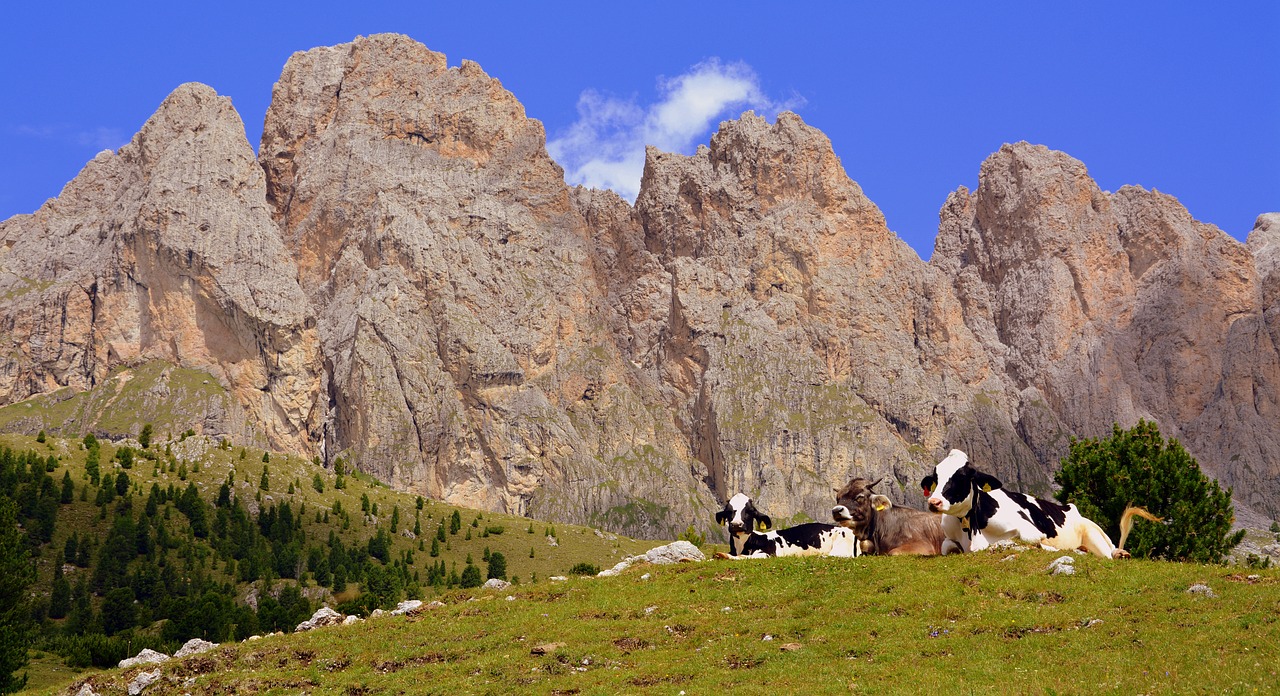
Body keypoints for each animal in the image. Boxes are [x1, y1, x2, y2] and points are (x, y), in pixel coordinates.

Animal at [711, 488, 860, 560]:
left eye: (749, 512)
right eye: (728, 511)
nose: (737, 524)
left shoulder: (768, 554)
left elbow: (743, 557)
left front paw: (724, 556)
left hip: (841, 546)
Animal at [921, 450, 1162, 560]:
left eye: (962, 476)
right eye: (936, 477)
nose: (934, 502)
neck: (973, 529)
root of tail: (1072, 509)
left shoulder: (1031, 530)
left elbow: (1027, 541)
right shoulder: (949, 539)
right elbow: (946, 547)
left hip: (1093, 534)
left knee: (1109, 553)